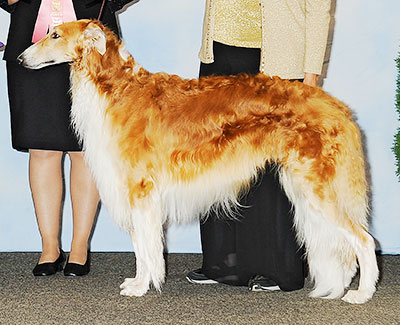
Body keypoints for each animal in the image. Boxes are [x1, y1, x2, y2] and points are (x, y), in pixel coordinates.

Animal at [18, 20, 380, 304]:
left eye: (55, 35)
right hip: (303, 186)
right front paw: (139, 282)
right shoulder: (136, 191)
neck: (115, 88)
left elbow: (145, 247)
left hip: (318, 188)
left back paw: (361, 294)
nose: (20, 58)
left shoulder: (140, 189)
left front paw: (140, 287)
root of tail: (338, 108)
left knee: (365, 240)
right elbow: (141, 245)